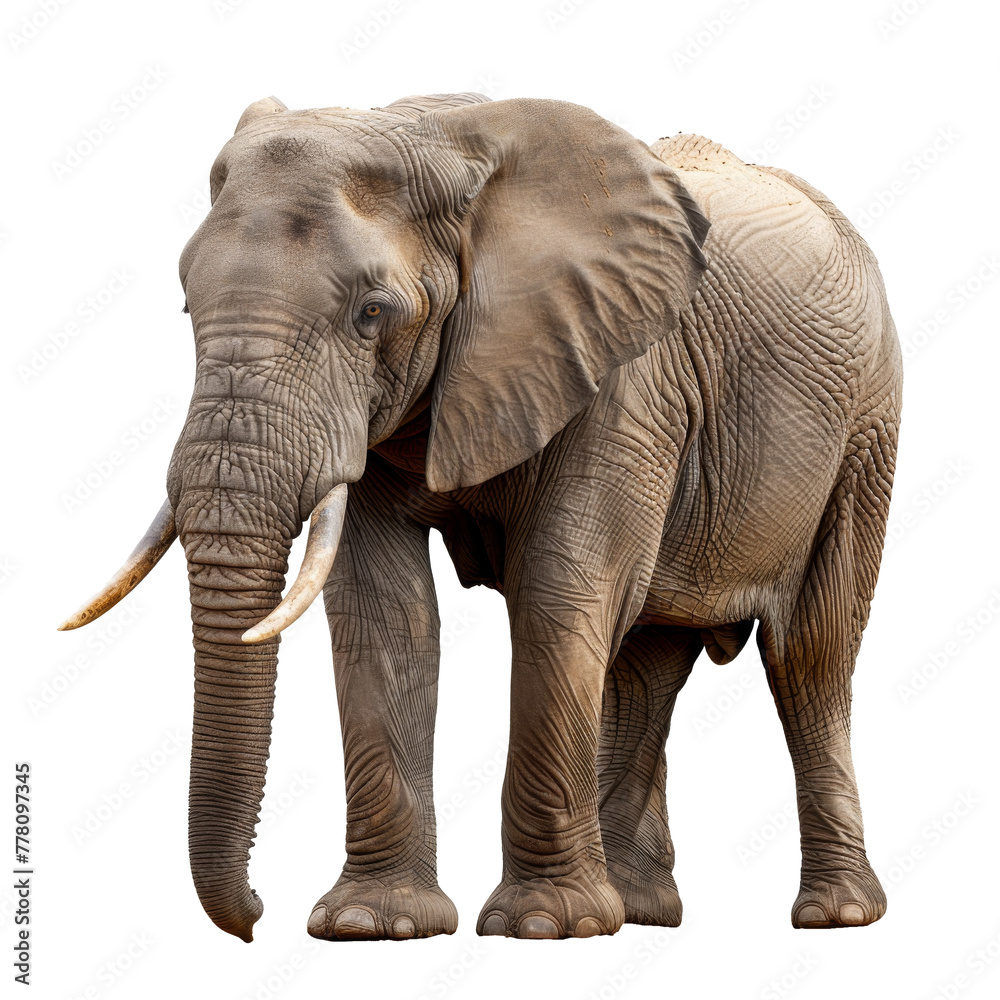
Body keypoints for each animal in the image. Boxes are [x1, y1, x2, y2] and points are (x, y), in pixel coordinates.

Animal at [60, 92, 902, 943]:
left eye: (372, 313)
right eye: (187, 302)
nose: (257, 915)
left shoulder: (622, 374)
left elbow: (559, 593)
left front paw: (546, 927)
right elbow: (385, 612)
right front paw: (371, 925)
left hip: (867, 428)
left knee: (810, 653)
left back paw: (833, 914)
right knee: (646, 657)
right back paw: (638, 911)